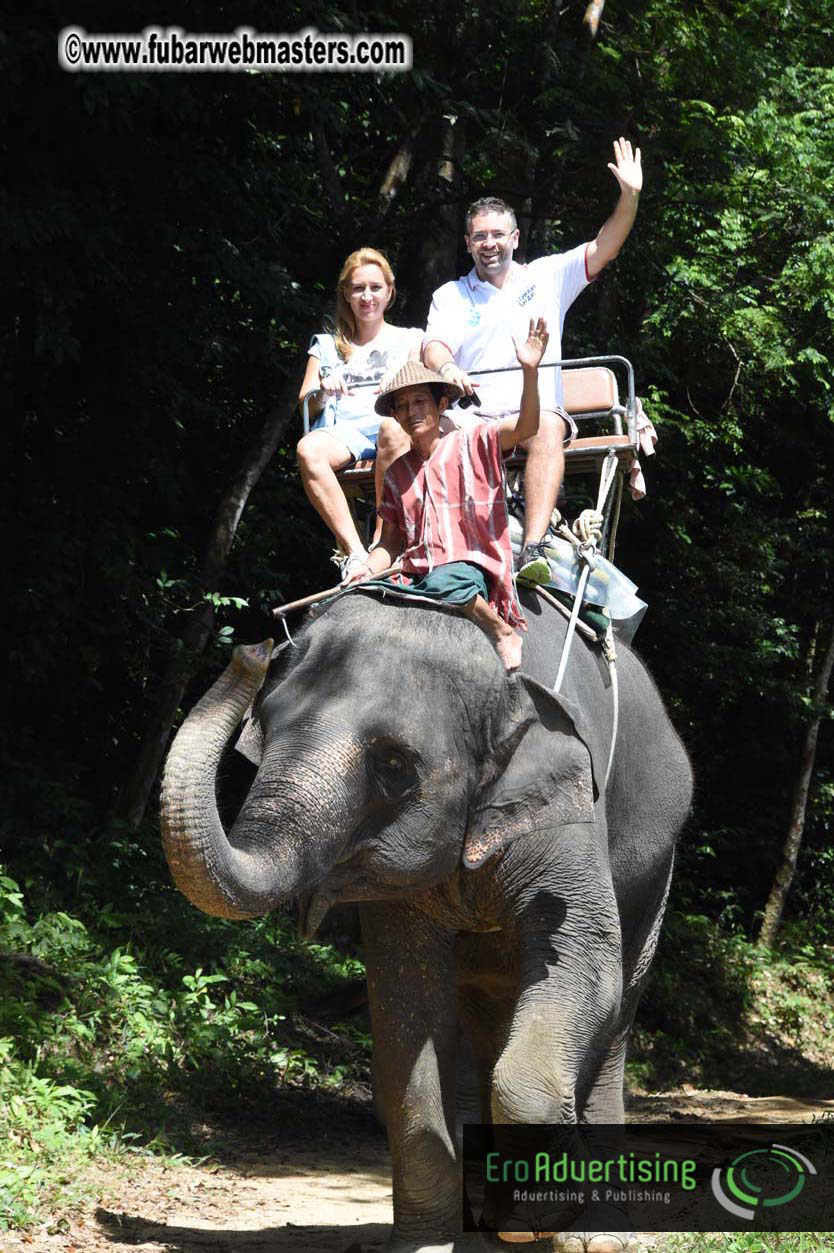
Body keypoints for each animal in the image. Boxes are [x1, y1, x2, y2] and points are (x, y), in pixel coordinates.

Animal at [160, 586, 692, 1253]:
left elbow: (585, 966)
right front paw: (430, 1244)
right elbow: (406, 1013)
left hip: (657, 871)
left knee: (617, 1014)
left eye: (394, 764)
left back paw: (595, 1235)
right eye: (266, 728)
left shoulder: (570, 812)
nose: (250, 649)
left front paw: (547, 1214)